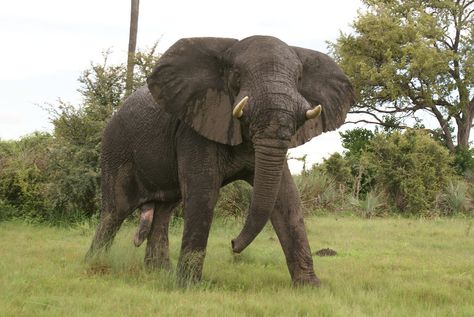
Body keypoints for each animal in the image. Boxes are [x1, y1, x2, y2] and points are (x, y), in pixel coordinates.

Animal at [85, 35, 354, 286]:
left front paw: (311, 287)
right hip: (115, 148)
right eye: (236, 76)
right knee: (115, 211)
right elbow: (203, 192)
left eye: (298, 79)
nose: (233, 243)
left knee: (163, 211)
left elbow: (286, 198)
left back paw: (159, 272)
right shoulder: (196, 125)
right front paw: (188, 286)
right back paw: (94, 264)